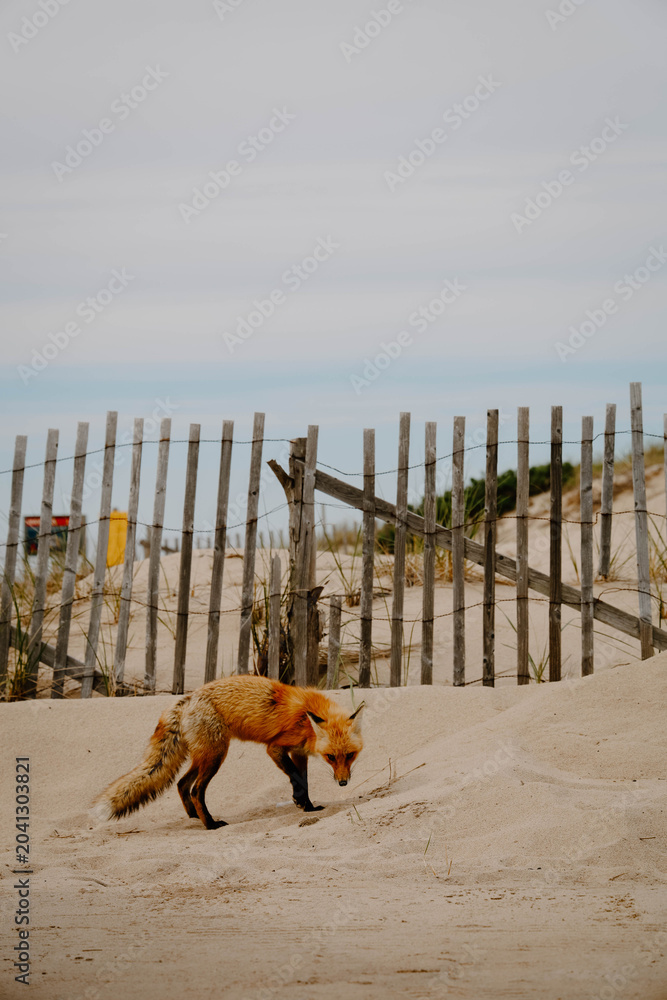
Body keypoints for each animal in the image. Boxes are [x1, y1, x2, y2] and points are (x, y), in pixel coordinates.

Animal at [93, 674, 364, 830]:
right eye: (331, 757)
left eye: (350, 755)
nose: (343, 783)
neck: (307, 719)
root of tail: (188, 697)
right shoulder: (275, 748)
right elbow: (295, 777)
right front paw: (301, 802)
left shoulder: (299, 752)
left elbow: (302, 781)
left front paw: (307, 805)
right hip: (216, 756)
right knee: (196, 790)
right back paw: (210, 824)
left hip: (204, 755)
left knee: (181, 784)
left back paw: (194, 817)